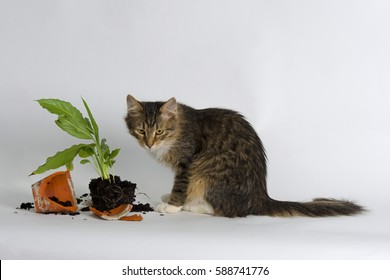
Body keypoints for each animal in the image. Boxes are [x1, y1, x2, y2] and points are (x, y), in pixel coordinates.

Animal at [125, 95, 366, 218]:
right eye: (141, 131)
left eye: (159, 132)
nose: (149, 144)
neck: (178, 130)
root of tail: (261, 196)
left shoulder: (187, 162)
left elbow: (180, 186)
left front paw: (173, 205)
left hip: (207, 172)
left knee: (227, 211)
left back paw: (193, 205)